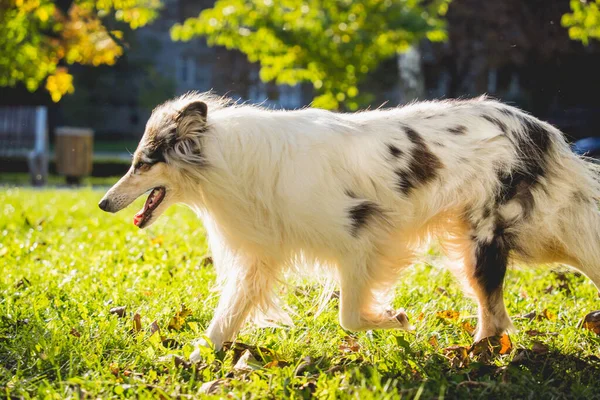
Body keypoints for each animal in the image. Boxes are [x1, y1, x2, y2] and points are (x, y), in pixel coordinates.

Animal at [98, 92, 600, 360]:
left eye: (143, 163)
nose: (103, 203)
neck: (227, 158)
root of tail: (542, 131)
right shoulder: (260, 257)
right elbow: (224, 322)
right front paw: (191, 360)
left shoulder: (362, 238)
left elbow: (349, 315)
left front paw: (396, 320)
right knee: (495, 317)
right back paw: (477, 353)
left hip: (497, 237)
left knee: (498, 309)